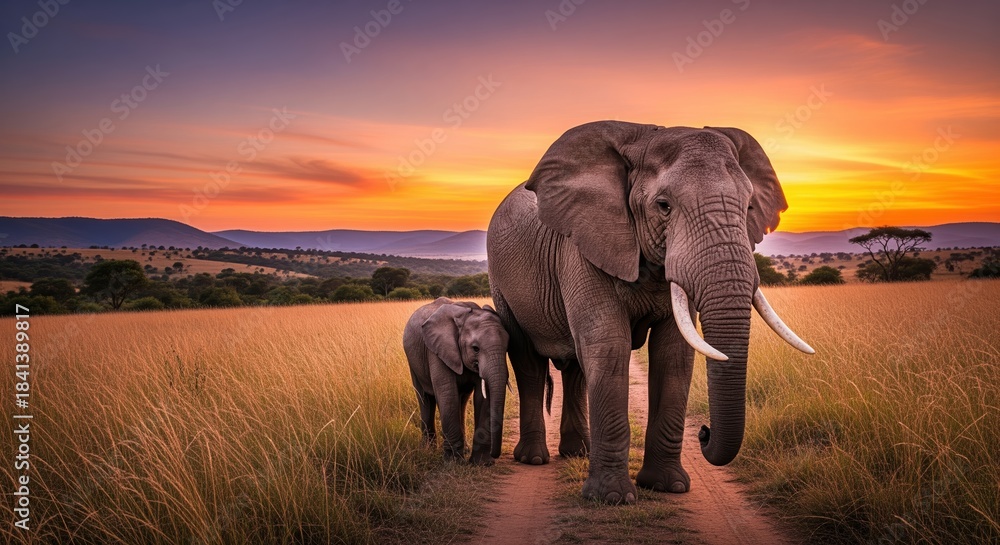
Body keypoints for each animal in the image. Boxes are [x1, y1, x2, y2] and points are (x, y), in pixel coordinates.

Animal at [403, 297, 510, 465]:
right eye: (475, 348)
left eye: (507, 348)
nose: (495, 456)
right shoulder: (437, 351)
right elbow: (447, 393)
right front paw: (453, 462)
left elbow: (483, 397)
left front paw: (481, 463)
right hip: (413, 361)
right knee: (425, 399)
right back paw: (427, 450)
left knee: (461, 401)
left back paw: (463, 450)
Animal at [486, 121, 814, 503]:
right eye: (664, 206)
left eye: (749, 206)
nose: (704, 433)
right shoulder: (583, 245)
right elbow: (609, 345)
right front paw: (612, 499)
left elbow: (674, 355)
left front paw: (668, 486)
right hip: (501, 283)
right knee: (529, 363)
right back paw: (534, 459)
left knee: (577, 368)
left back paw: (578, 453)